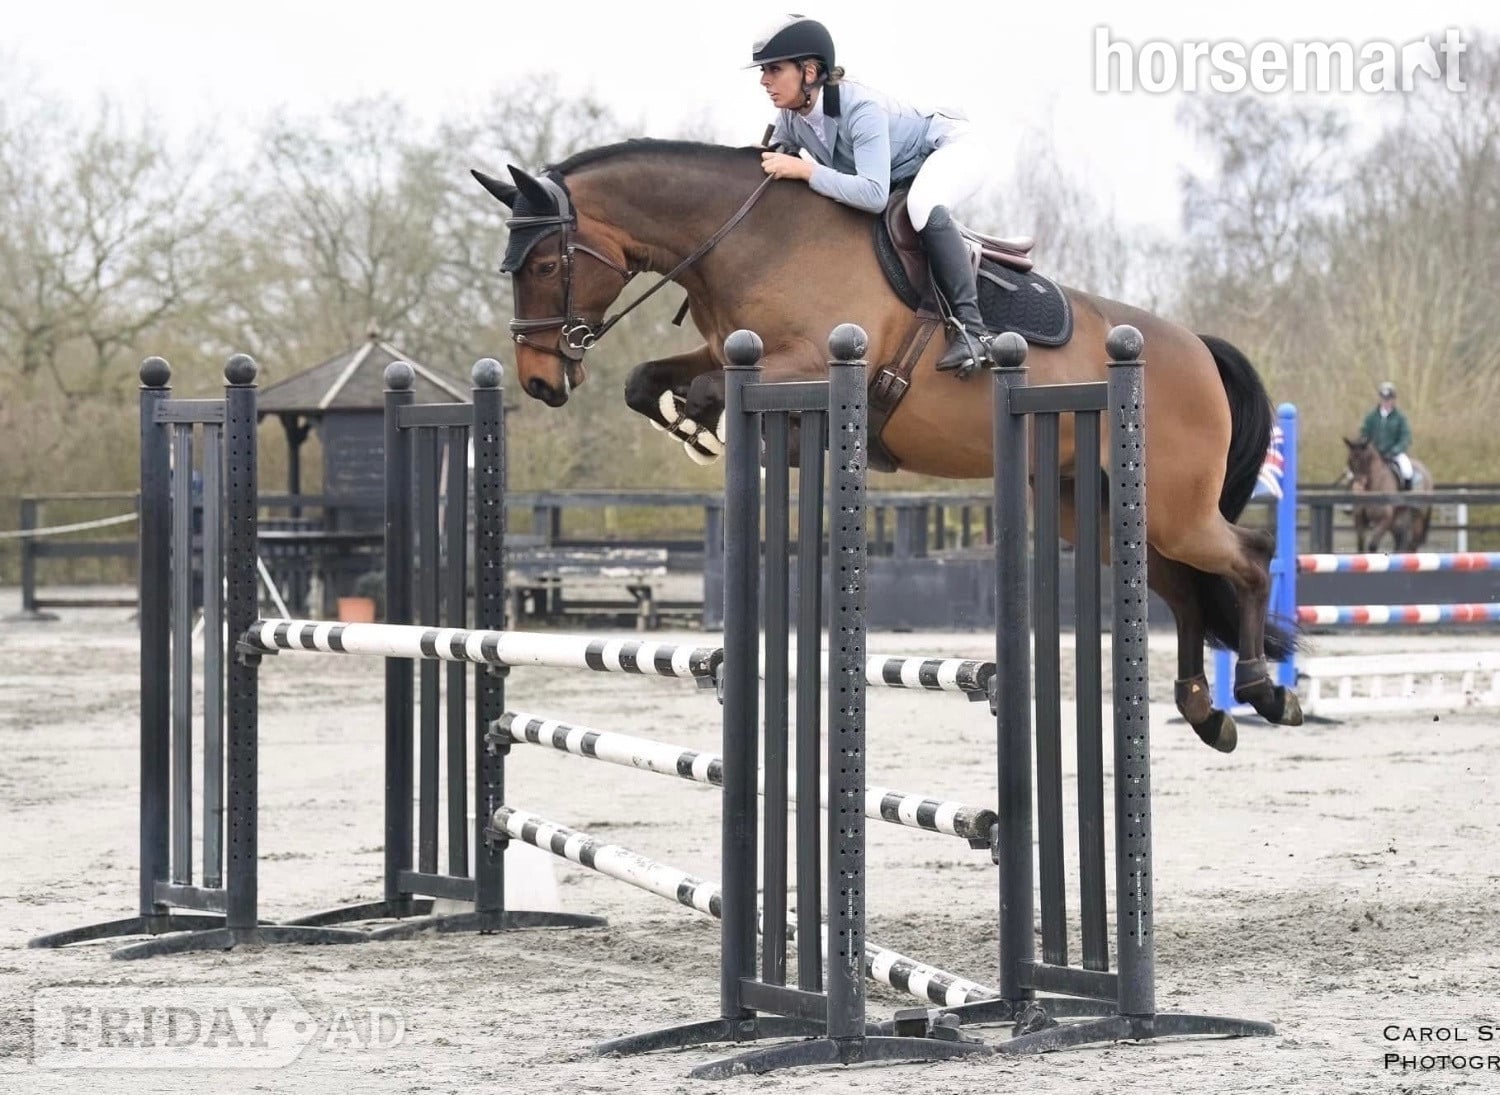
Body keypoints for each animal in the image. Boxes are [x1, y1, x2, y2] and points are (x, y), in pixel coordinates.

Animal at [471, 139, 1302, 753]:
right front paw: (689, 427)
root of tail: (1195, 347)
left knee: (1249, 556)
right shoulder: (728, 351)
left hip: (1172, 508)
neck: (751, 238)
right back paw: (1206, 711)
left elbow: (707, 388)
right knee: (1188, 589)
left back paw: (1263, 689)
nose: (539, 380)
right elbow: (648, 381)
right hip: (1096, 511)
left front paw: (702, 423)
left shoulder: (818, 361)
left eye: (543, 265)